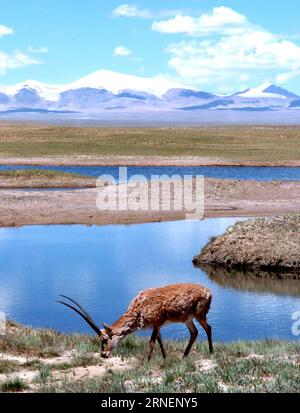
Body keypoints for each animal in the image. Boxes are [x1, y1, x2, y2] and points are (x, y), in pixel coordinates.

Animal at [58, 282, 213, 358]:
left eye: (105, 339)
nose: (103, 354)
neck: (139, 308)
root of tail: (208, 292)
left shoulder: (157, 323)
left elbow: (152, 342)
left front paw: (147, 361)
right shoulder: (156, 326)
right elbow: (160, 340)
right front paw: (165, 358)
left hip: (199, 315)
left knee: (208, 328)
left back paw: (211, 353)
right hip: (187, 319)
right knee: (194, 333)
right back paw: (184, 357)